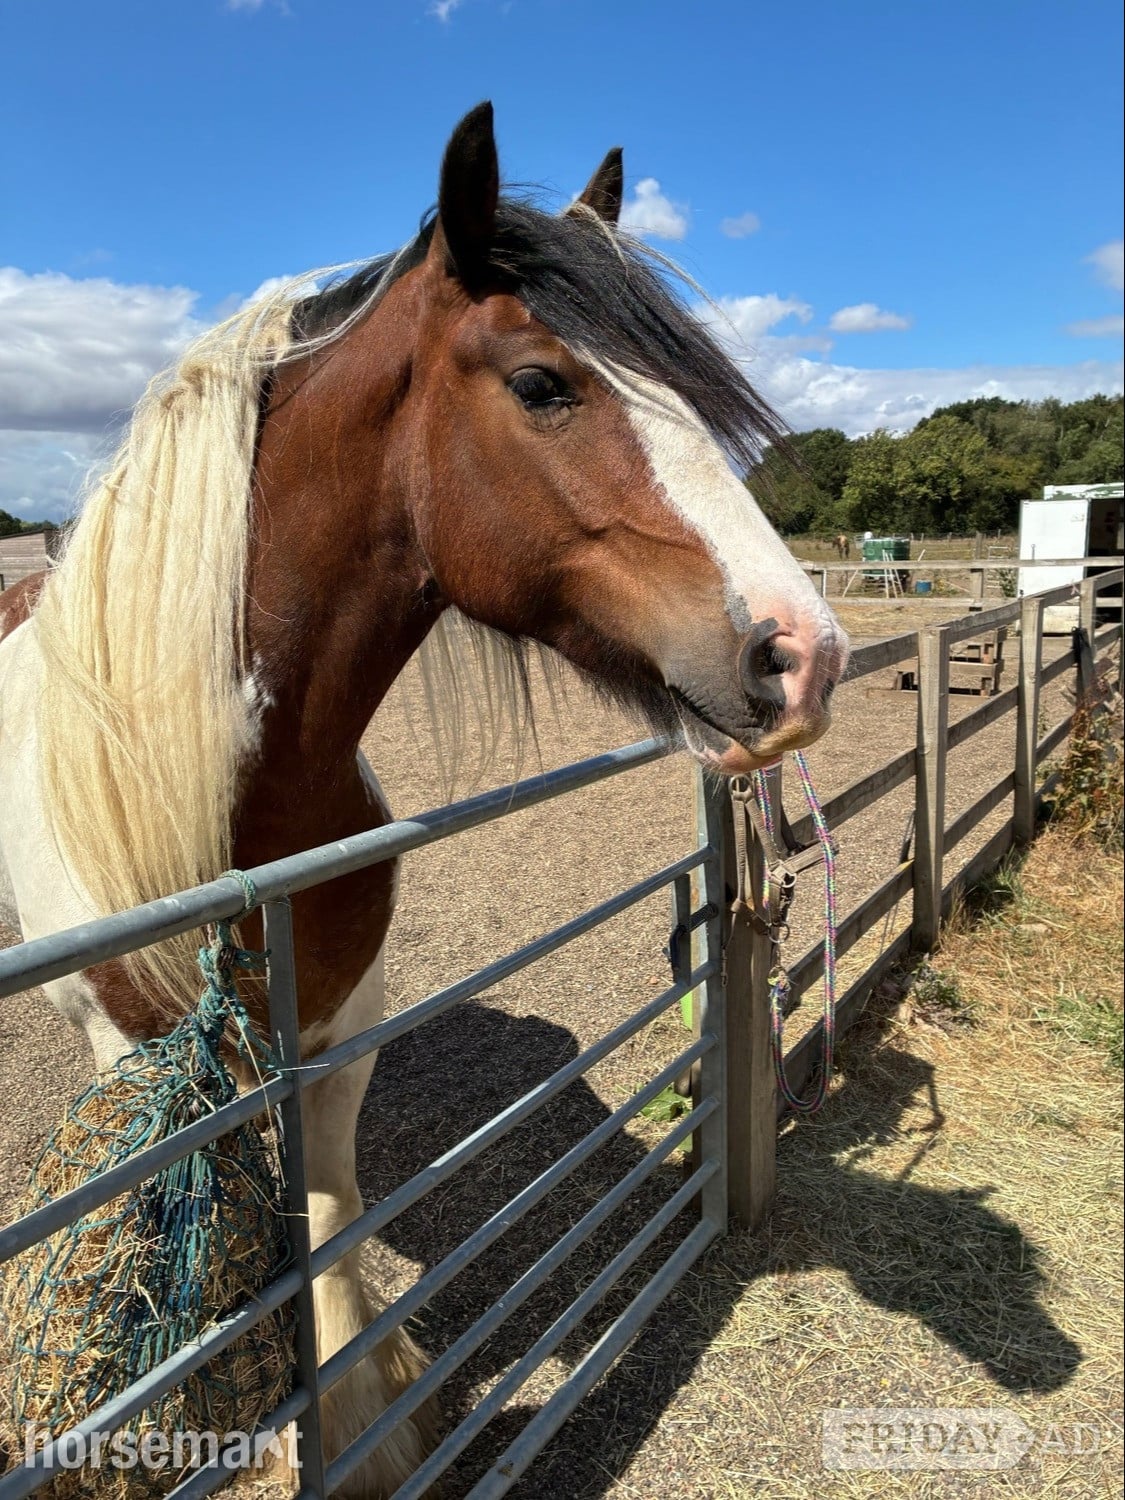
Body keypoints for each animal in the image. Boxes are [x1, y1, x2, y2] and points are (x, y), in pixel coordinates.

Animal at [0, 104, 848, 1496]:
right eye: (543, 385)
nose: (806, 654)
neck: (230, 803)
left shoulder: (345, 1017)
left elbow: (328, 1207)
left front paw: (362, 1412)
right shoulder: (139, 1045)